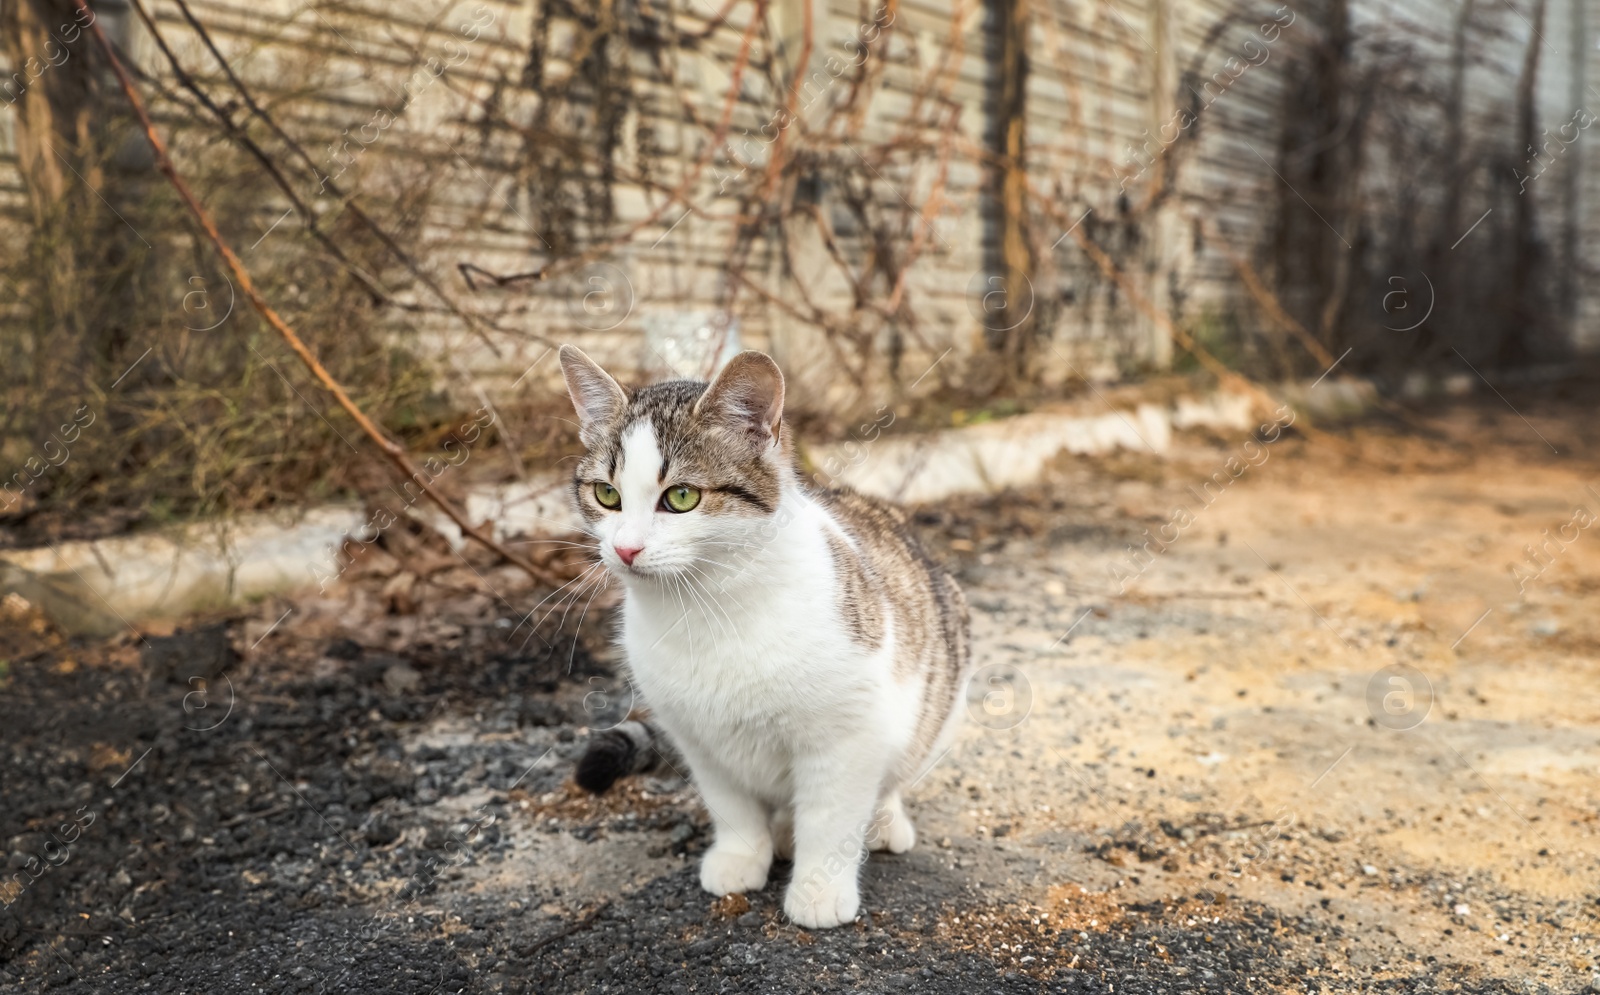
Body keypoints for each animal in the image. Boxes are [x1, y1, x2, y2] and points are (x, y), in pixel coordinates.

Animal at [556, 347, 966, 934]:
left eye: (681, 497)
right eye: (606, 495)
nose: (626, 549)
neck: (705, 610)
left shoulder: (848, 734)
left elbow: (831, 816)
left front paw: (818, 888)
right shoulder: (696, 737)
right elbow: (731, 805)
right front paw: (740, 856)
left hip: (942, 692)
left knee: (890, 776)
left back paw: (879, 822)